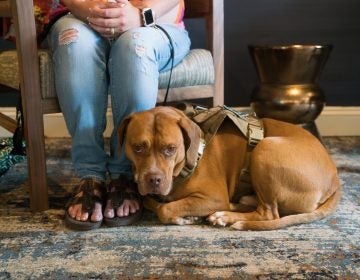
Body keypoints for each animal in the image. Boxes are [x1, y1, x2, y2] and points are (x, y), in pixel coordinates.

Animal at [118, 105, 340, 230]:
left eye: (170, 149)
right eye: (137, 147)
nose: (153, 180)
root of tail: (336, 182)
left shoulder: (213, 197)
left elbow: (164, 209)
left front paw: (182, 217)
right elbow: (150, 200)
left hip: (265, 148)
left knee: (268, 213)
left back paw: (224, 215)